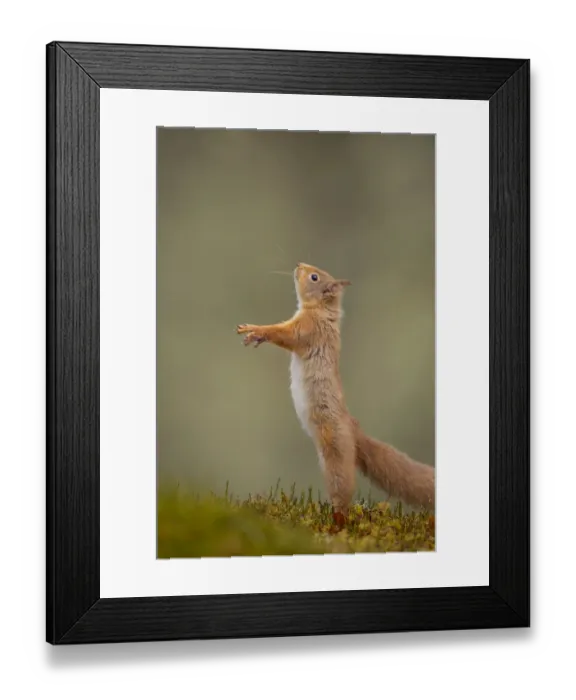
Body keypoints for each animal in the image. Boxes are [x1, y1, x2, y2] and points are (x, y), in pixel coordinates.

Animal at [236, 262, 435, 530]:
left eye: (314, 277)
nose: (299, 265)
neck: (322, 311)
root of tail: (354, 430)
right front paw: (253, 337)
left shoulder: (307, 330)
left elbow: (284, 334)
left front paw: (255, 329)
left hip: (336, 455)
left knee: (343, 493)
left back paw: (336, 523)